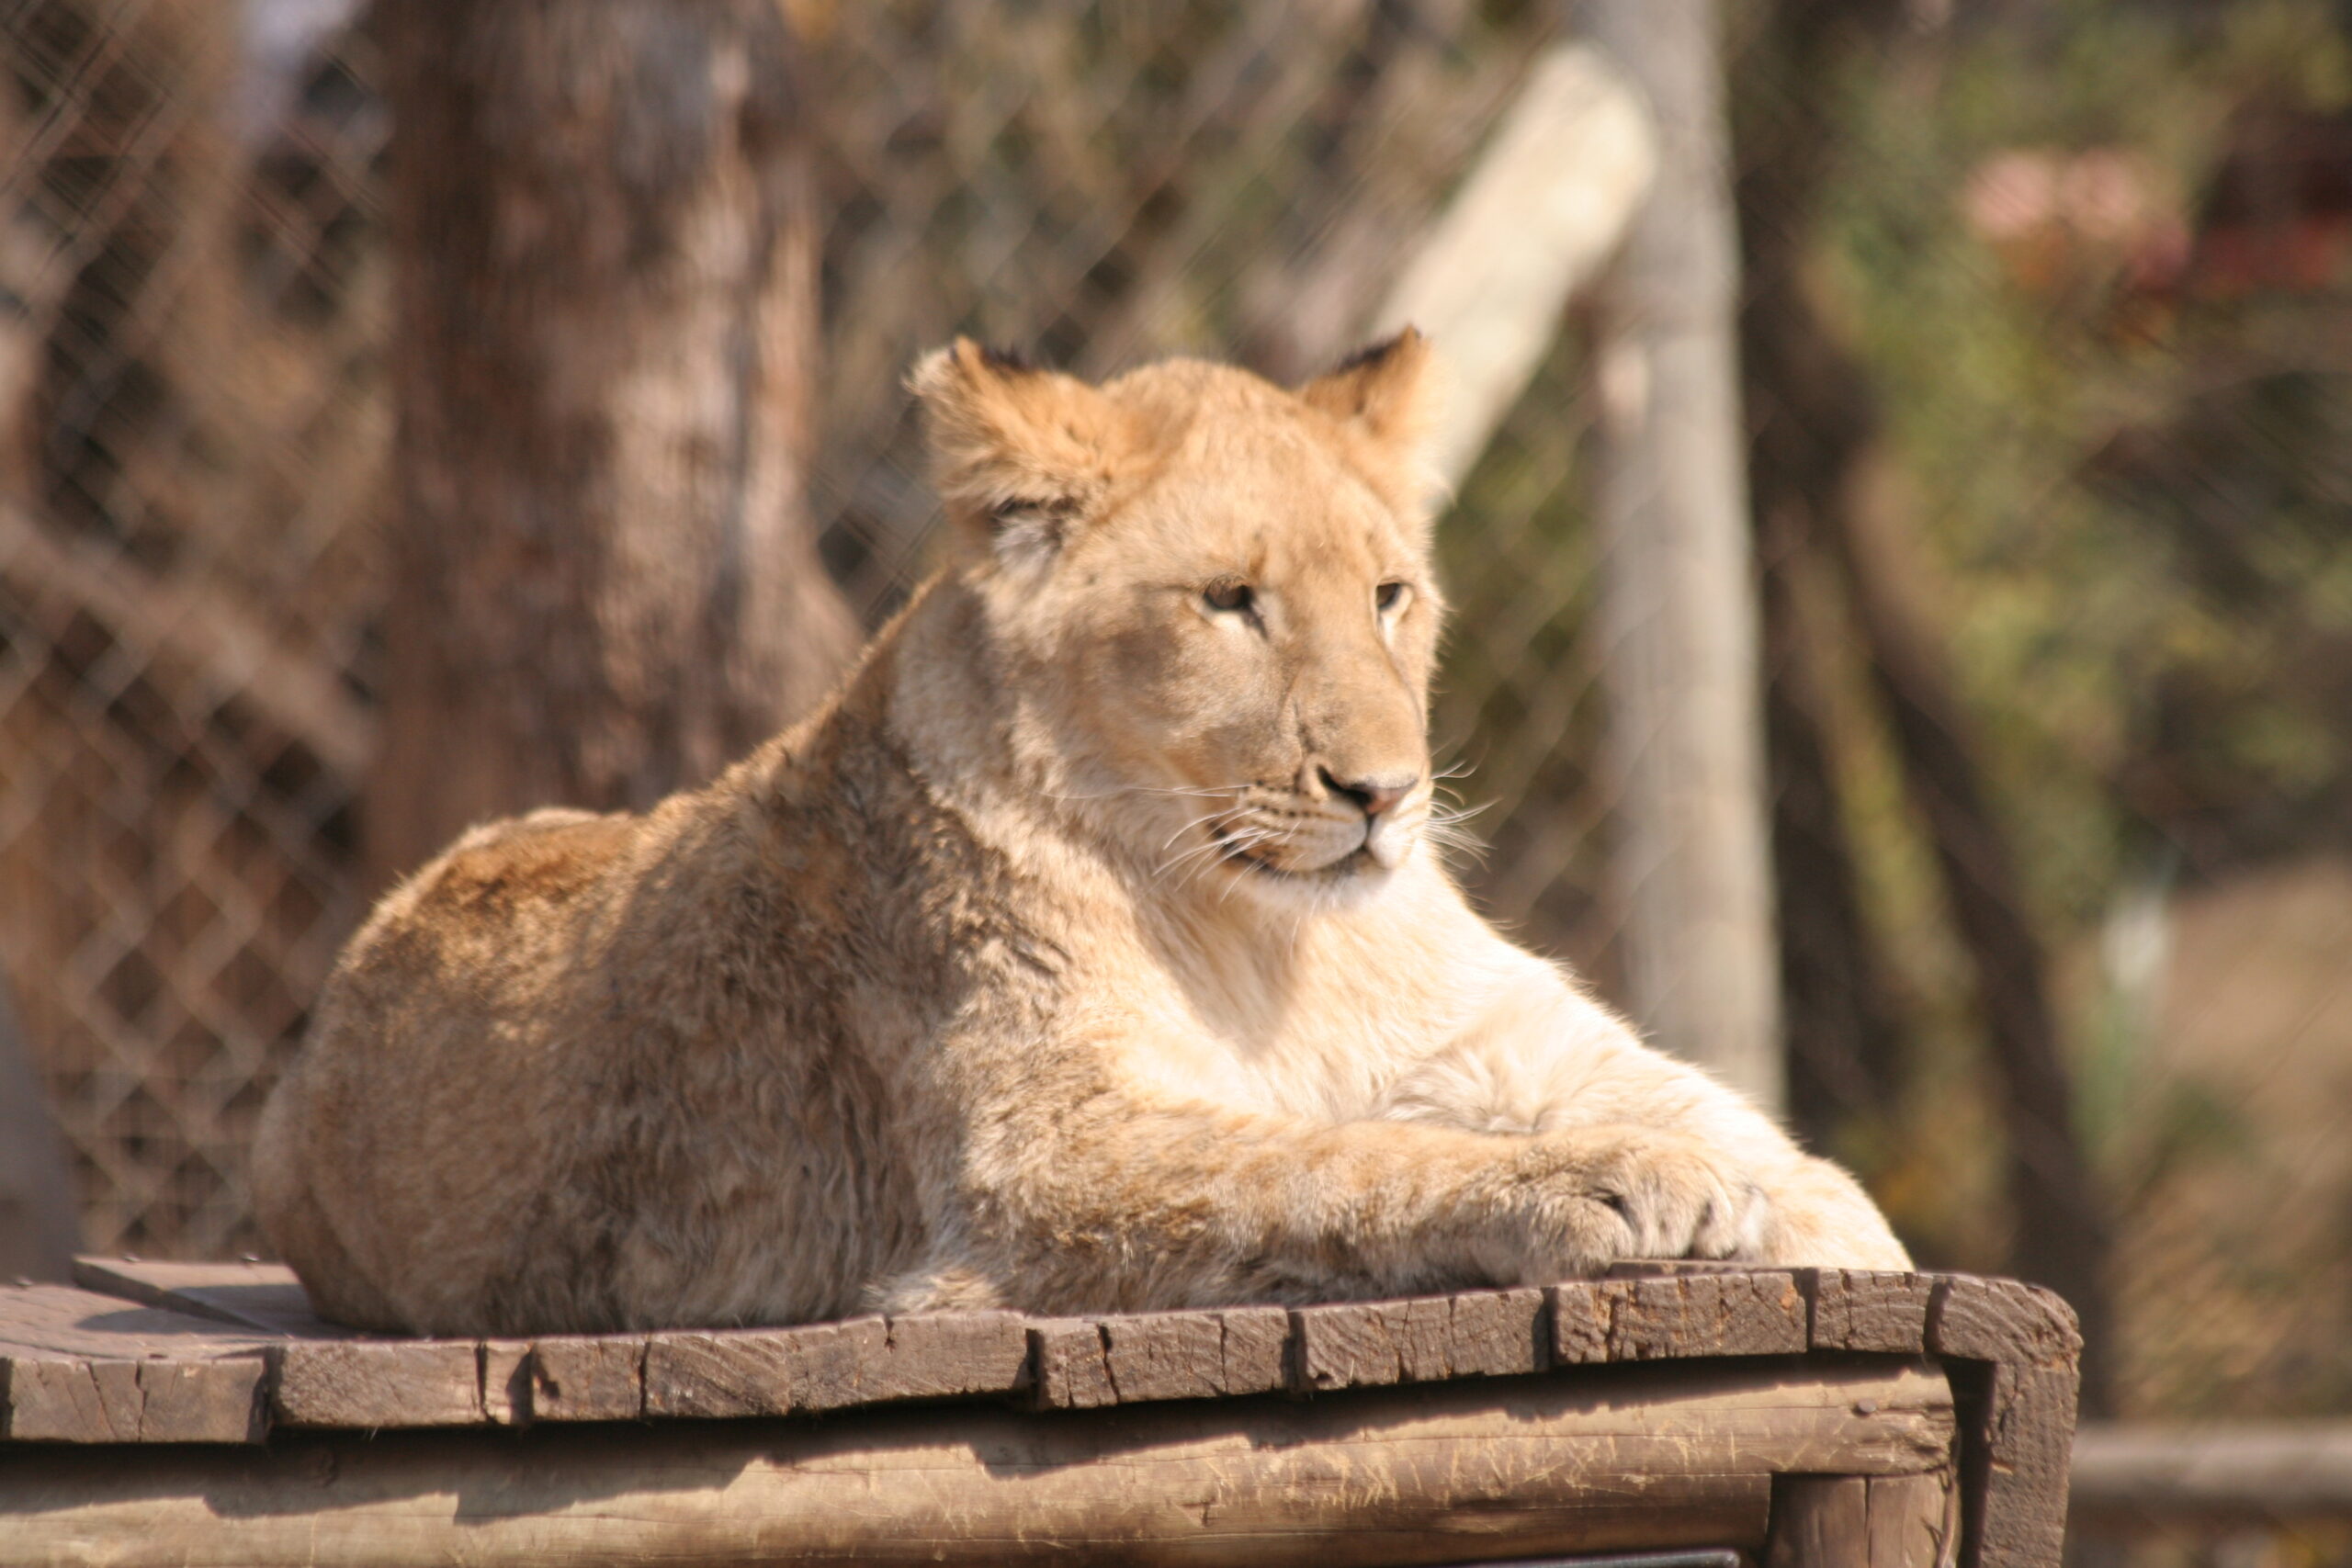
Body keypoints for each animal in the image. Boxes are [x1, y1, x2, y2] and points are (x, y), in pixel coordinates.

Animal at [251, 331, 1908, 1336]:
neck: (1268, 940)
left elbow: (1728, 1114)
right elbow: (1340, 1159)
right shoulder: (1039, 1158)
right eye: (1231, 602)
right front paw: (1601, 1184)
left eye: (1391, 595)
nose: (1385, 793)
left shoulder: (1506, 1032)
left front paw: (1835, 1229)